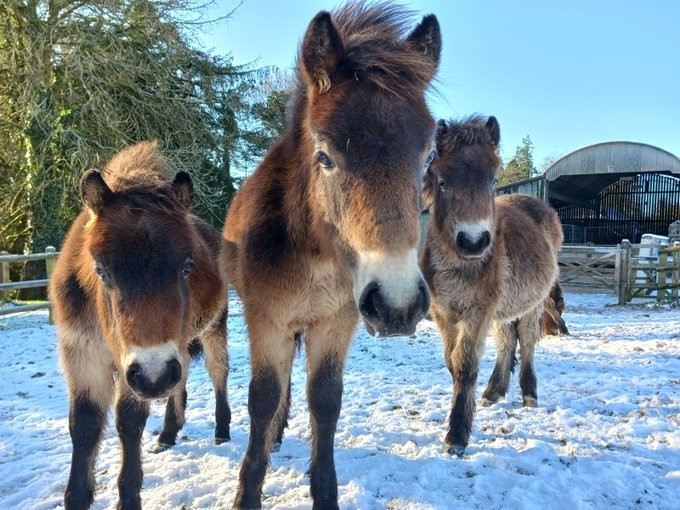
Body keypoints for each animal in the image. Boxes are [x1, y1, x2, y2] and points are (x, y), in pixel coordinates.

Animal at [49, 142, 230, 510]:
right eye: (101, 269)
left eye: (187, 266)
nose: (154, 375)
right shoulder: (82, 354)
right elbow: (85, 425)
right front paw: (77, 496)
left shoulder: (133, 366)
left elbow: (129, 423)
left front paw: (129, 496)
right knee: (181, 379)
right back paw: (168, 433)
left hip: (212, 329)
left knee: (218, 374)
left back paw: (221, 430)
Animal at [222, 2, 440, 507]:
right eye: (324, 157)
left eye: (426, 158)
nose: (398, 305)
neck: (314, 257)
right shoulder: (266, 319)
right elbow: (262, 398)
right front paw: (249, 488)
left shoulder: (337, 322)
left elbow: (325, 400)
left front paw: (322, 490)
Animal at [419, 116, 563, 457]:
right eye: (442, 181)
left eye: (493, 180)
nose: (473, 241)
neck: (460, 266)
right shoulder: (443, 313)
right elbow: (451, 361)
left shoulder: (478, 310)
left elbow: (465, 363)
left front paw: (457, 434)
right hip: (503, 309)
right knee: (507, 342)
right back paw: (493, 391)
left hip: (533, 304)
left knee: (526, 342)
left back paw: (528, 393)